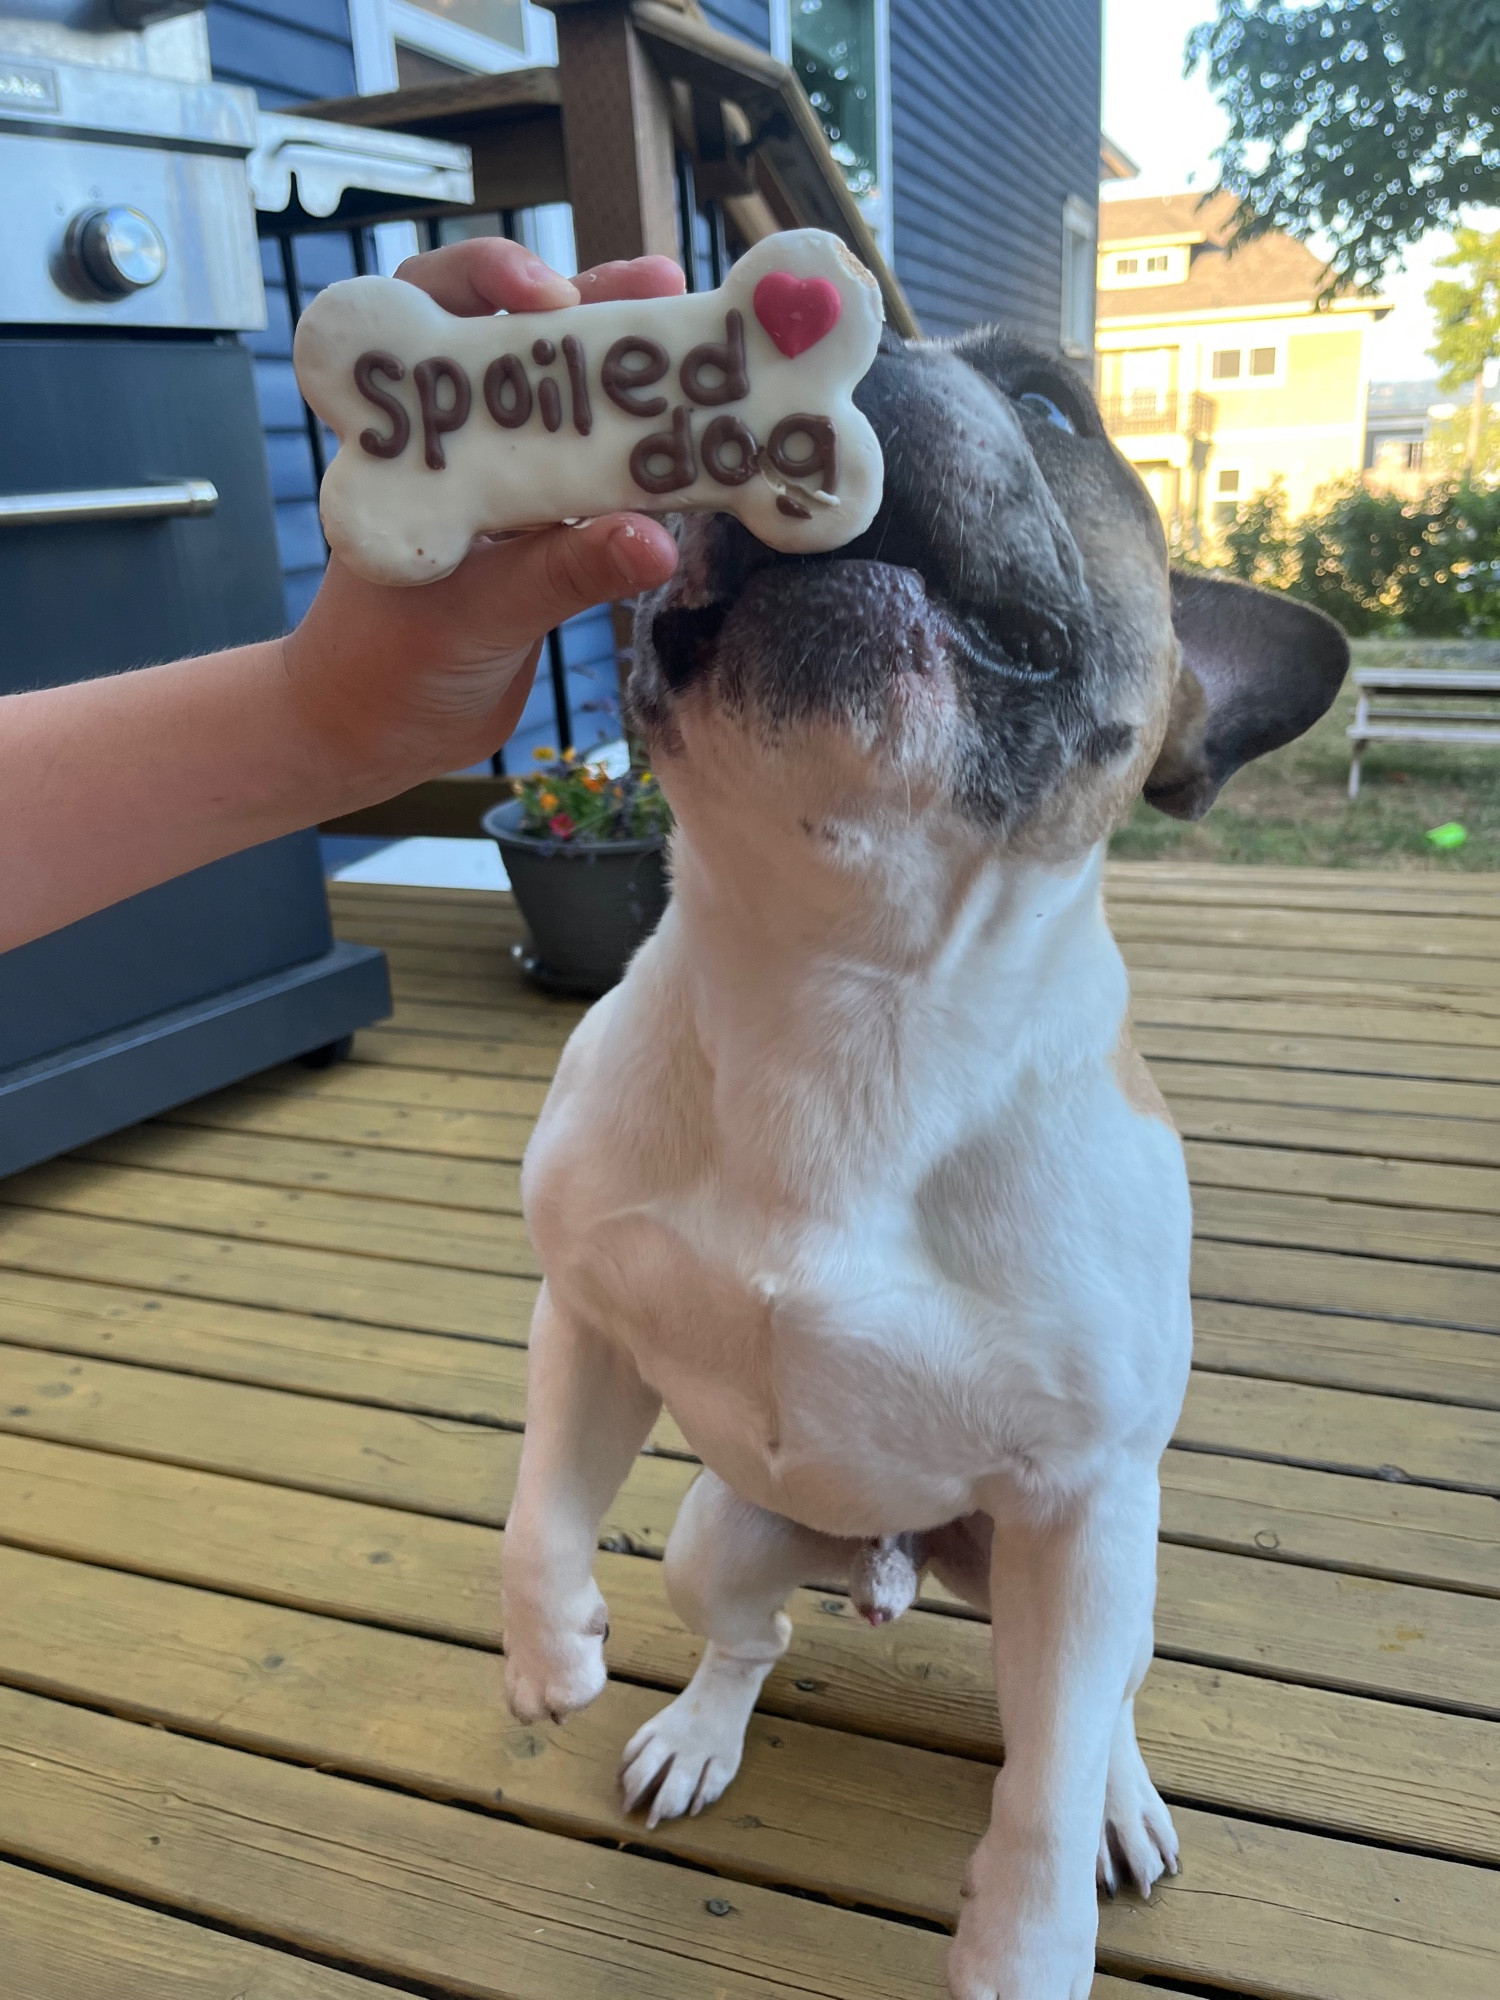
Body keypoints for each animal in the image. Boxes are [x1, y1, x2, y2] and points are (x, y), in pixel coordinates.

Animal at [502, 328, 1352, 2000]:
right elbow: (539, 1494)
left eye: (1051, 404)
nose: (834, 332)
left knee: (1083, 1720)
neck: (853, 978)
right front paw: (547, 1641)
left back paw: (1119, 1800)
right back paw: (701, 1727)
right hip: (717, 1532)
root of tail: (895, 1557)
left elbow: (1039, 1808)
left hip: (1096, 1592)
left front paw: (1025, 1947)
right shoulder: (588, 1310)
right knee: (750, 1632)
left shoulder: (1087, 1507)